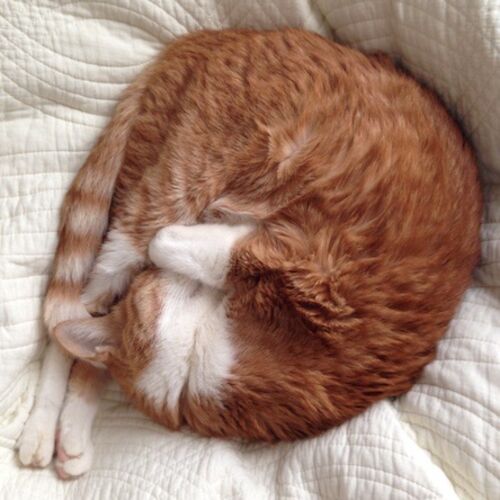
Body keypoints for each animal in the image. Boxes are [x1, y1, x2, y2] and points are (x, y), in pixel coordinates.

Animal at [17, 28, 482, 479]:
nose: (145, 278)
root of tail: (209, 36)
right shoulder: (298, 267)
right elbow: (171, 243)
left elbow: (171, 250)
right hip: (164, 195)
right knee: (70, 312)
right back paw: (43, 430)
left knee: (78, 315)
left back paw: (67, 434)